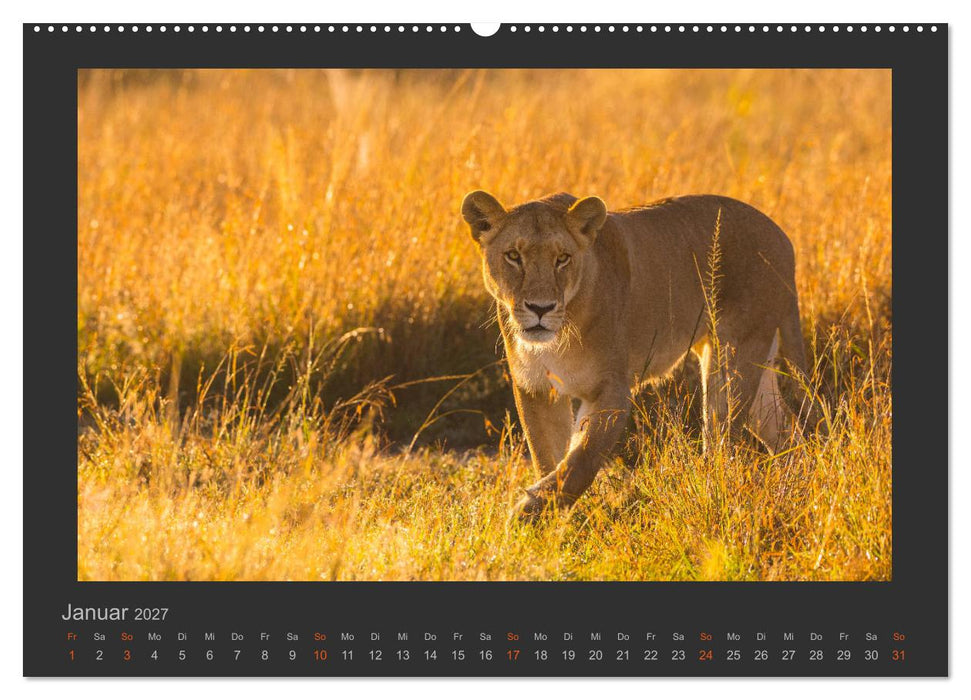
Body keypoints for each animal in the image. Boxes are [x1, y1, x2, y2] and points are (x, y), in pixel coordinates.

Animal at [461, 190, 815, 520]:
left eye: (562, 258)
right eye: (513, 256)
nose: (540, 308)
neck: (560, 335)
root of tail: (782, 237)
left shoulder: (612, 390)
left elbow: (580, 460)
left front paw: (526, 514)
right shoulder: (536, 388)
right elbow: (548, 456)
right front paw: (557, 521)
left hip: (731, 360)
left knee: (722, 443)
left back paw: (720, 494)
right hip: (754, 361)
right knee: (786, 430)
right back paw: (796, 489)